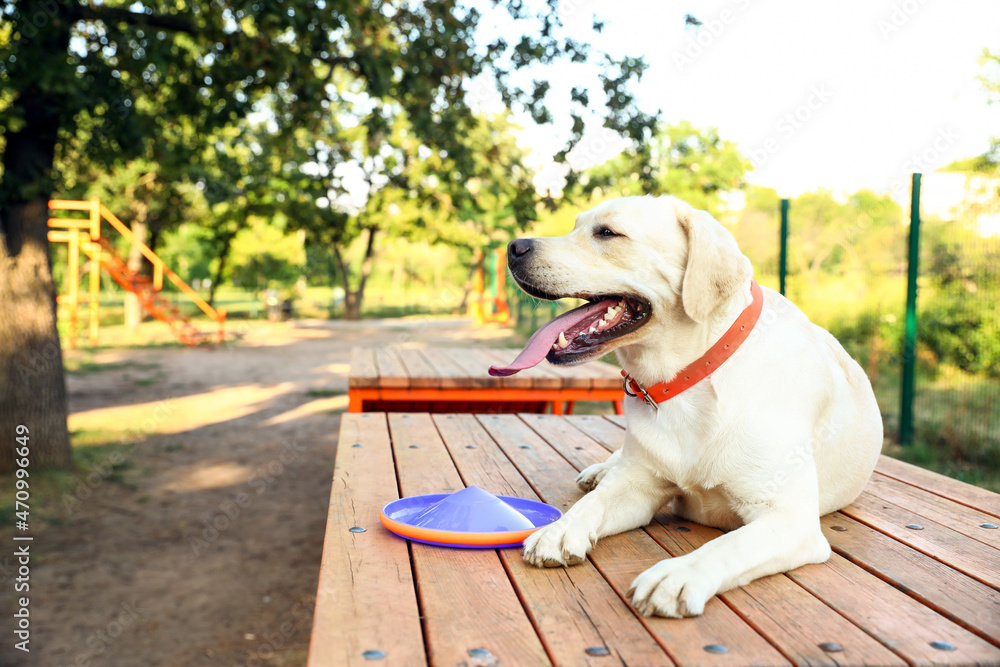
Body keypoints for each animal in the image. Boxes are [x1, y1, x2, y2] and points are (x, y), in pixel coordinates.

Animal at [488, 196, 880, 620]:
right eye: (576, 226)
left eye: (607, 232)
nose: (514, 247)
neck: (691, 377)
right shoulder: (636, 486)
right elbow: (597, 502)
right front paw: (559, 530)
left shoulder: (789, 518)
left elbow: (727, 545)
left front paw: (676, 575)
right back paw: (599, 471)